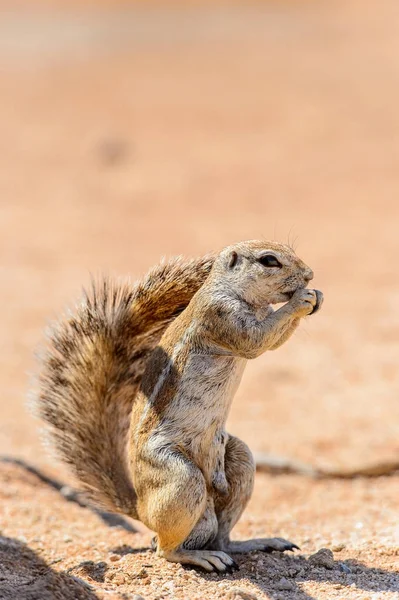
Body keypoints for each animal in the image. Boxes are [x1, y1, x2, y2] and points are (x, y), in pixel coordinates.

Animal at [36, 239, 324, 572]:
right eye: (269, 260)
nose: (310, 274)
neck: (237, 294)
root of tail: (142, 508)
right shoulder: (221, 316)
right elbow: (257, 340)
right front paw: (301, 300)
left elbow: (274, 341)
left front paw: (316, 295)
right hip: (180, 476)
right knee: (165, 548)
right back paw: (200, 557)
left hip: (237, 461)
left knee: (221, 537)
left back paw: (254, 543)